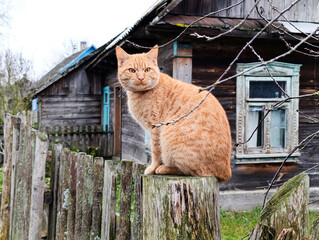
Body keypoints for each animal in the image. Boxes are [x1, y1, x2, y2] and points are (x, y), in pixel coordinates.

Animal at [116, 45, 231, 181]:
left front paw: (152, 168)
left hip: (170, 135)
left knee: (193, 171)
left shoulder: (155, 128)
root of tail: (227, 171)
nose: (141, 78)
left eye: (147, 69)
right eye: (132, 70)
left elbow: (156, 152)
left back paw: (163, 168)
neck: (140, 94)